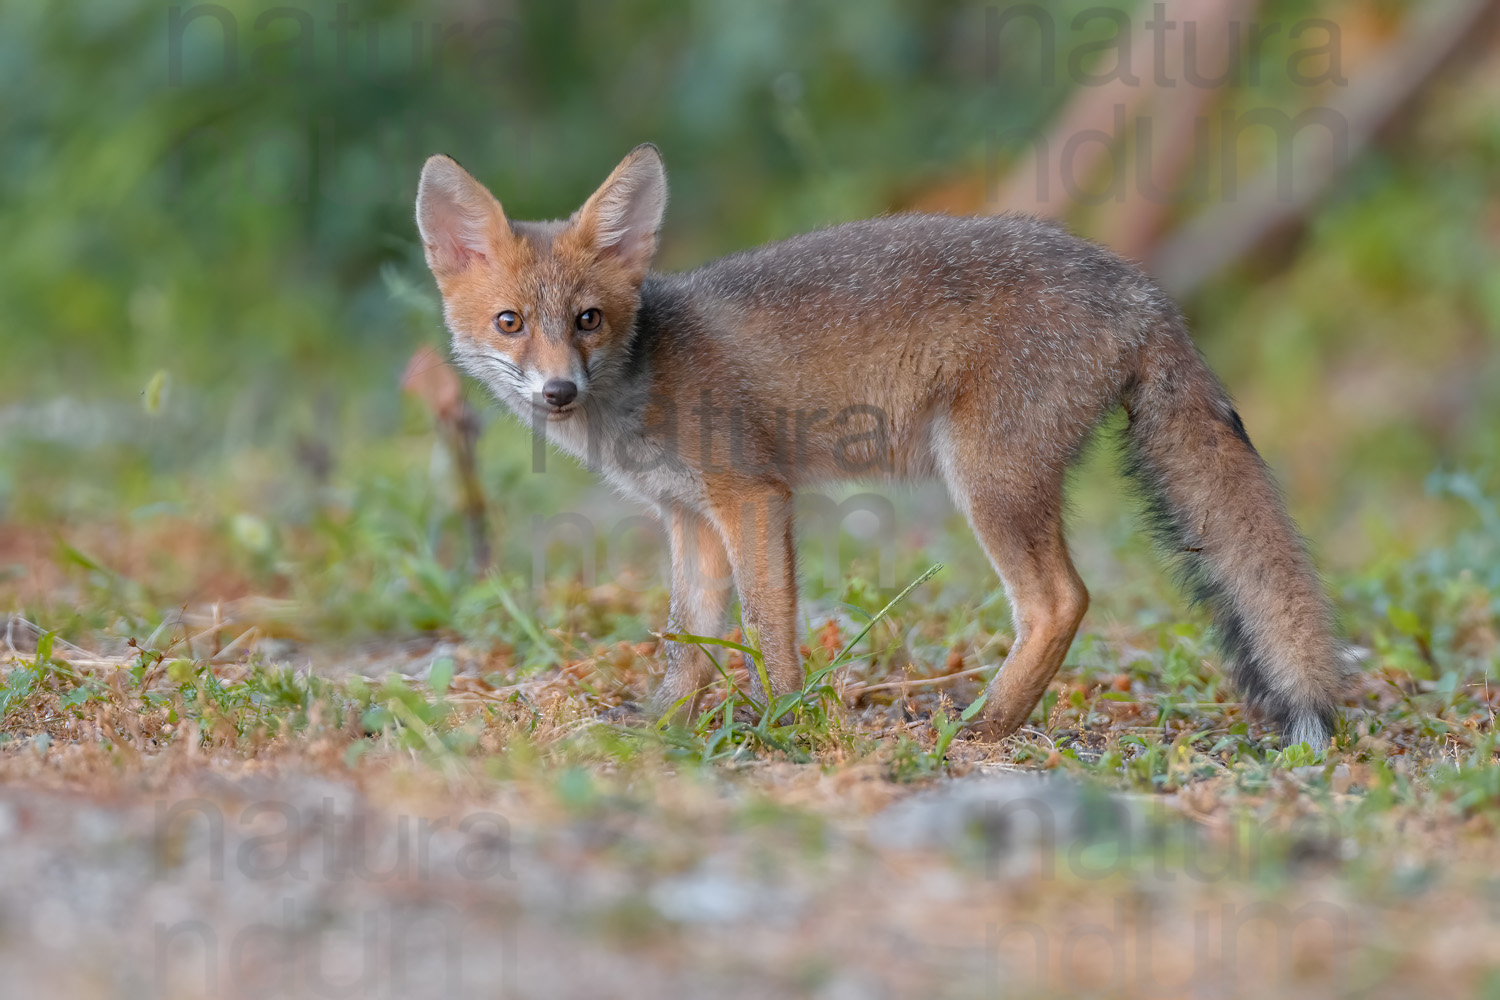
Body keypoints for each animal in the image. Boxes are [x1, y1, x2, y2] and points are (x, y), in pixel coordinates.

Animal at [417, 144, 1356, 746]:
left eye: (587, 320)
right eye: (511, 323)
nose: (558, 392)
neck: (642, 379)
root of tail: (1141, 286)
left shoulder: (751, 496)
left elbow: (768, 627)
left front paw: (785, 721)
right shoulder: (690, 520)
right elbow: (690, 641)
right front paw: (663, 727)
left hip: (987, 481)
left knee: (1061, 600)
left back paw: (985, 726)